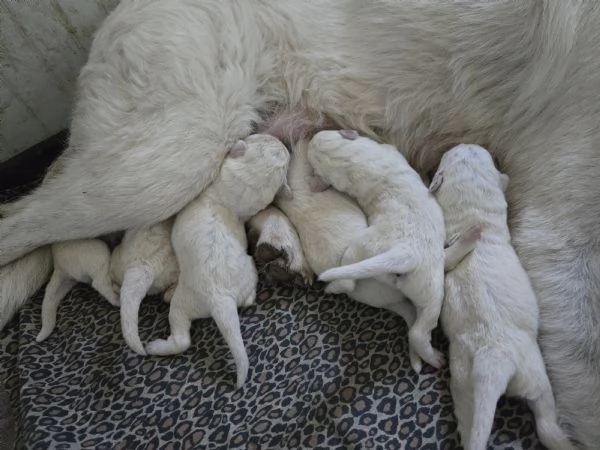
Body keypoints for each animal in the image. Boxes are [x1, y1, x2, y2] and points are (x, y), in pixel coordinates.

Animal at [143, 134, 288, 390]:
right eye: (265, 139)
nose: (281, 140)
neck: (229, 201)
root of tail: (221, 299)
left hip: (184, 302)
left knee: (181, 336)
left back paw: (156, 344)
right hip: (247, 271)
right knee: (246, 298)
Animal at [312, 130, 448, 372]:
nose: (311, 137)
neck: (345, 158)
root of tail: (404, 252)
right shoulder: (388, 150)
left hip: (414, 278)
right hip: (425, 281)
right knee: (419, 329)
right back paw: (436, 358)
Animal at [428, 143, 576, 450]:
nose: (466, 142)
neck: (474, 219)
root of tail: (493, 360)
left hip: (464, 385)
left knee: (470, 422)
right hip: (535, 377)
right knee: (546, 424)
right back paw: (565, 441)